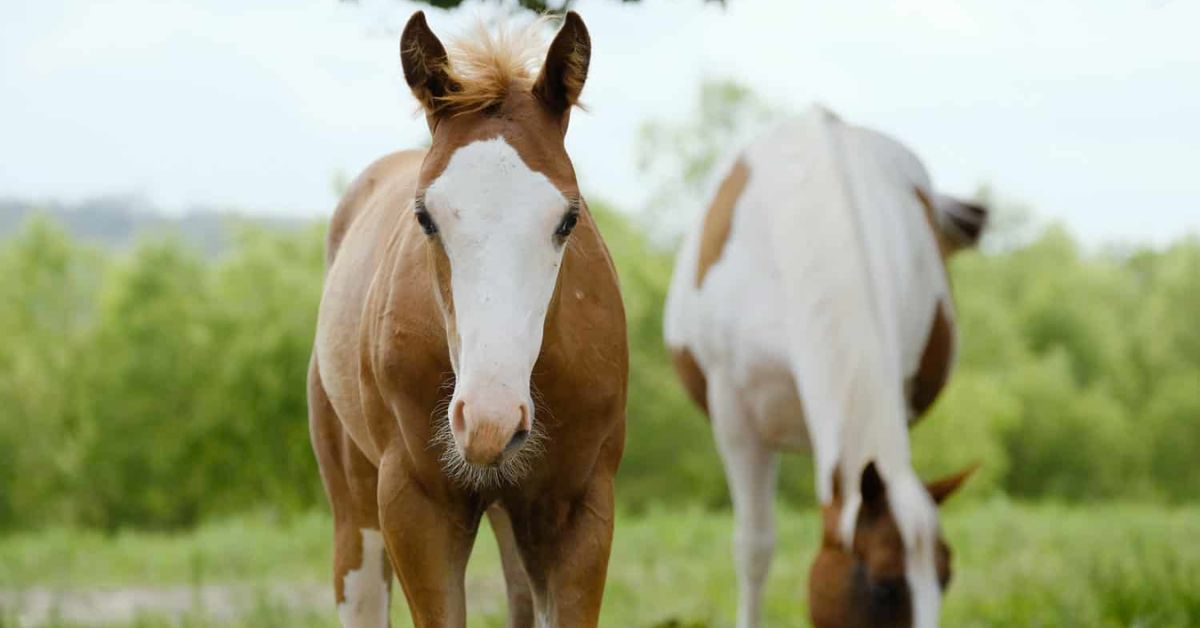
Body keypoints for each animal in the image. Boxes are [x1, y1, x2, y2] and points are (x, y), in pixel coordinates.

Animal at [309, 11, 628, 628]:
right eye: (425, 217)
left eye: (568, 218)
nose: (488, 421)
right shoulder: (415, 506)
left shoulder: (579, 508)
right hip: (356, 514)